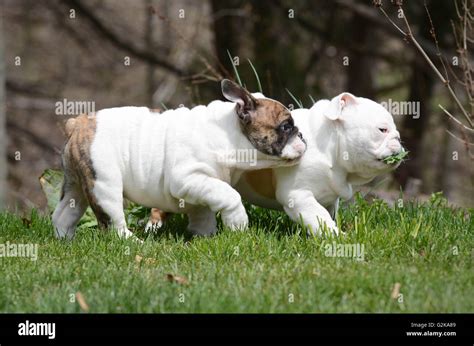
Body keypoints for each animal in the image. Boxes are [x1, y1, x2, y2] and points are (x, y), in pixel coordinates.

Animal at [52, 79, 308, 239]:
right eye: (286, 126)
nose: (302, 135)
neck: (229, 134)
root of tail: (78, 123)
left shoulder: (203, 186)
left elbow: (203, 210)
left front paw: (204, 235)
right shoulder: (188, 178)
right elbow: (230, 196)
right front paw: (238, 224)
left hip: (75, 184)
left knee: (64, 214)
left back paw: (64, 239)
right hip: (104, 185)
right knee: (113, 223)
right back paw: (133, 243)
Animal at [146, 93, 402, 237]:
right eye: (382, 130)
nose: (399, 140)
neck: (330, 146)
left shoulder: (331, 198)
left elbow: (327, 212)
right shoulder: (298, 195)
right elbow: (318, 215)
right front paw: (335, 236)